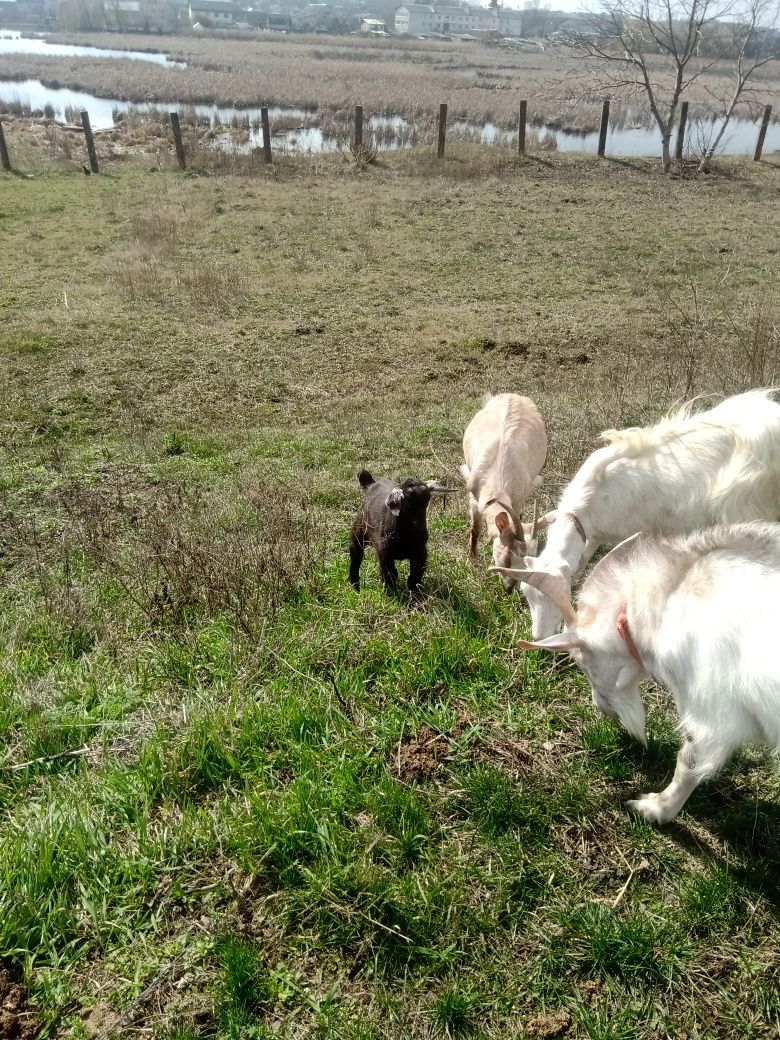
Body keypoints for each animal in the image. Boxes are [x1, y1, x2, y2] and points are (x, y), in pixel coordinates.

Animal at [349, 470, 451, 599]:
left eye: (427, 501)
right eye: (407, 502)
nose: (423, 534)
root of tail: (371, 484)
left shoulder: (420, 554)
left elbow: (414, 578)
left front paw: (415, 599)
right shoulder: (384, 553)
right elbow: (391, 575)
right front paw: (390, 596)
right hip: (359, 530)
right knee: (355, 555)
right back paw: (355, 585)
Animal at [463, 393, 549, 594]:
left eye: (526, 563)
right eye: (509, 557)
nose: (509, 589)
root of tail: (513, 395)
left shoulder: (518, 499)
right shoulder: (473, 494)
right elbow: (475, 528)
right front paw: (471, 561)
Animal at [495, 524, 780, 823]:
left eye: (583, 663)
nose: (603, 710)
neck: (671, 595)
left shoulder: (711, 712)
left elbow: (688, 764)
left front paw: (654, 809)